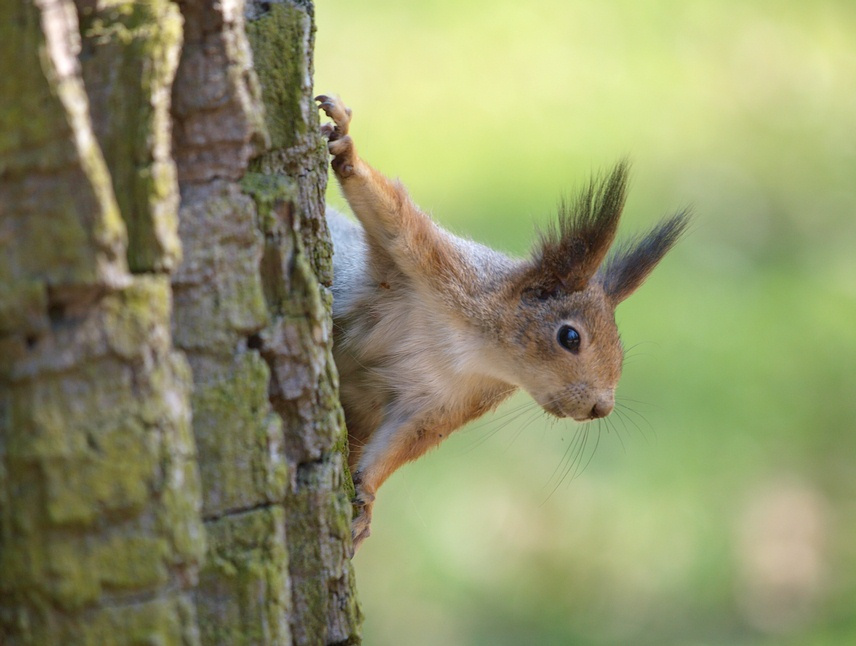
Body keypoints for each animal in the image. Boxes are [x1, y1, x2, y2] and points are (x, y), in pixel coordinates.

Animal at [316, 95, 689, 552]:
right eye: (570, 336)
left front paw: (366, 498)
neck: (475, 349)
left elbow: (401, 445)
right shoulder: (437, 265)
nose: (602, 407)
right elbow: (393, 219)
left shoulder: (443, 405)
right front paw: (347, 148)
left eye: (619, 348)